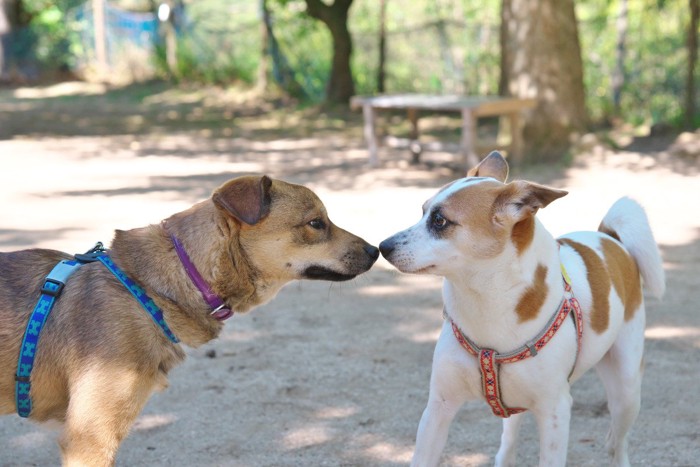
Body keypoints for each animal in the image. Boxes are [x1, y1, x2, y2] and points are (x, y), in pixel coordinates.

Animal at [380, 152, 664, 466]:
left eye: (440, 220)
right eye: (422, 212)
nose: (382, 246)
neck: (485, 299)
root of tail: (609, 238)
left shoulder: (555, 412)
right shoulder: (438, 408)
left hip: (627, 389)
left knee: (617, 443)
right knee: (509, 438)